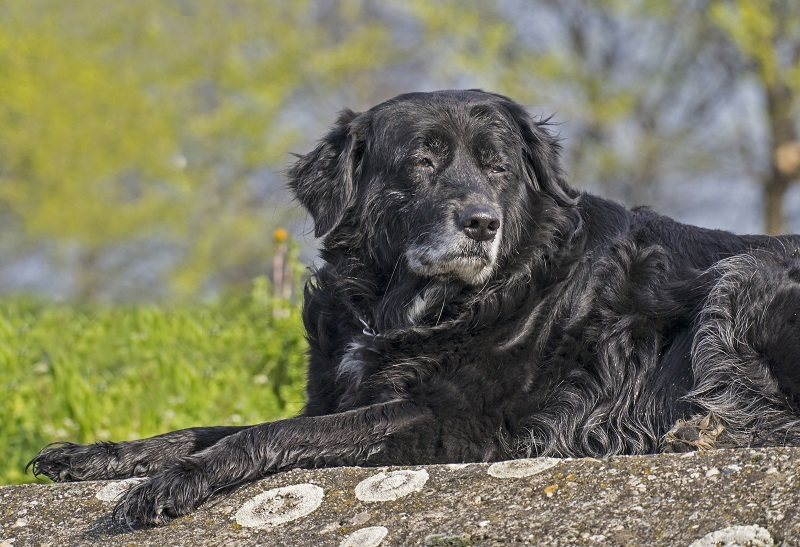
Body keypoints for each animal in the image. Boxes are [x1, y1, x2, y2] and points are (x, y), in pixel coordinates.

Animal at [28, 90, 800, 528]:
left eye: (496, 164)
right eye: (423, 161)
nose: (483, 222)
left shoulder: (444, 420)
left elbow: (262, 435)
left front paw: (175, 484)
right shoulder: (332, 397)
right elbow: (198, 428)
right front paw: (95, 455)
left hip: (742, 276)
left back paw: (695, 433)